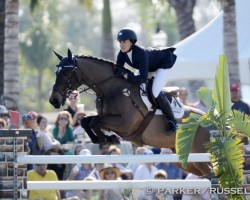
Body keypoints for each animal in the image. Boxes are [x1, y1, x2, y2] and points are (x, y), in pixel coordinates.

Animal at [48, 48, 211, 177]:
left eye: (67, 72)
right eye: (56, 72)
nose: (53, 100)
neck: (112, 89)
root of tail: (210, 120)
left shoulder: (126, 125)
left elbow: (94, 121)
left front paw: (109, 139)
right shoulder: (107, 118)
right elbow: (86, 120)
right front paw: (102, 139)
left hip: (199, 155)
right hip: (185, 159)